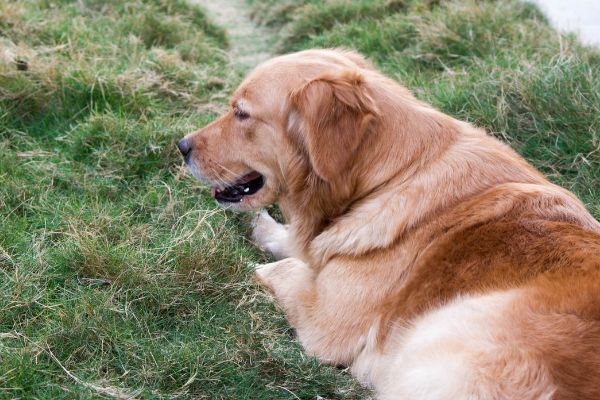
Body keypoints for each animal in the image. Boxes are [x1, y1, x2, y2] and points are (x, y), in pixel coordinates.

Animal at [177, 48, 600, 398]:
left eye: (241, 113)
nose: (181, 146)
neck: (389, 177)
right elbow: (298, 249)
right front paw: (267, 230)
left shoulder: (322, 323)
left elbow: (279, 269)